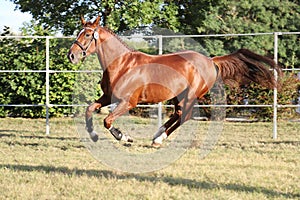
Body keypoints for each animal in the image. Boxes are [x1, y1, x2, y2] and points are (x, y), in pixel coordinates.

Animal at [67, 16, 280, 147]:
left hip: (191, 95)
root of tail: (210, 60)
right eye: (79, 32)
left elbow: (107, 120)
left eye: (88, 34)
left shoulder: (128, 102)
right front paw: (93, 135)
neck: (122, 64)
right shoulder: (108, 96)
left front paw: (124, 137)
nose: (71, 55)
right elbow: (89, 110)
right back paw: (157, 134)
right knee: (177, 114)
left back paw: (159, 139)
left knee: (185, 116)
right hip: (178, 95)